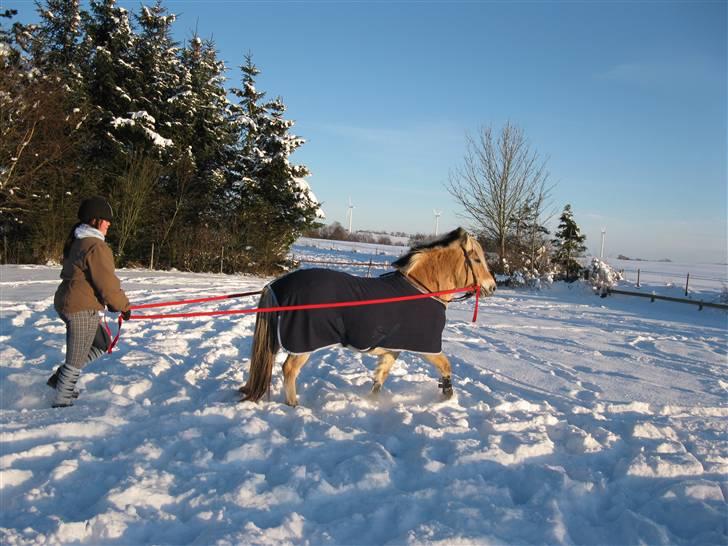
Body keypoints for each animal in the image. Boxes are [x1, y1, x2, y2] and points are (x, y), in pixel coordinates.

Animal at [242, 226, 498, 404]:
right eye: (476, 259)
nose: (492, 286)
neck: (422, 289)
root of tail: (277, 285)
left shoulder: (393, 349)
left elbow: (380, 378)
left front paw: (373, 403)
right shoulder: (427, 347)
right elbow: (446, 366)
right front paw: (447, 396)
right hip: (303, 343)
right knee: (289, 371)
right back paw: (294, 406)